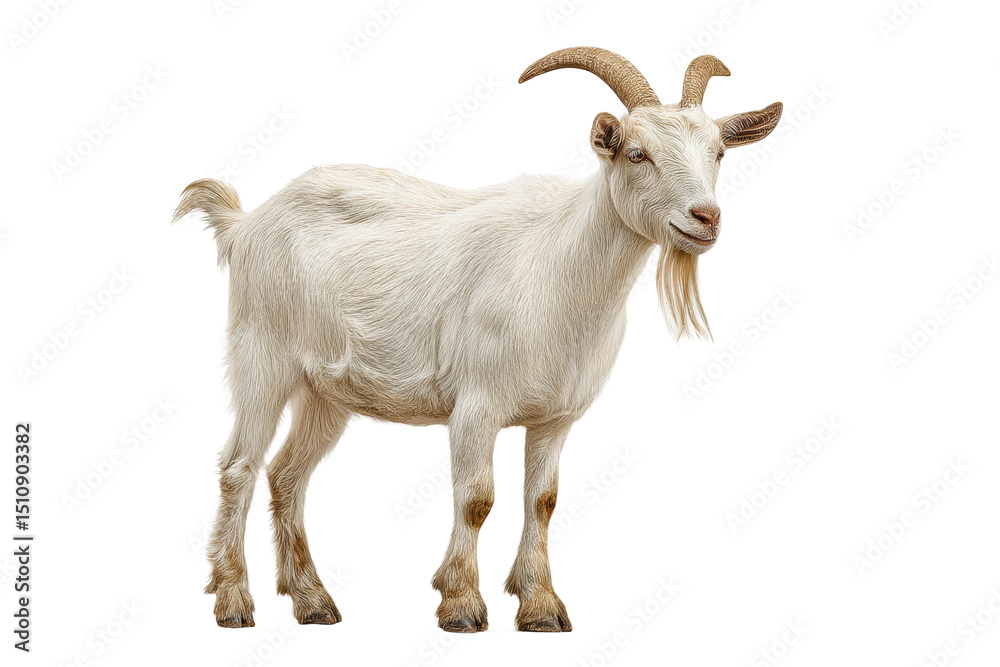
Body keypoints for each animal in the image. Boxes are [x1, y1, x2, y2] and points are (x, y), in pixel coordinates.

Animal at [173, 47, 782, 632]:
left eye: (718, 153)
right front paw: (461, 604)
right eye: (637, 153)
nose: (705, 217)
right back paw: (233, 601)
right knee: (239, 468)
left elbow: (543, 501)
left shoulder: (555, 418)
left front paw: (541, 607)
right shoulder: (475, 405)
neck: (557, 268)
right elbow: (476, 499)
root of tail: (244, 224)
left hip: (326, 391)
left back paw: (313, 601)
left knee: (287, 475)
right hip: (262, 356)